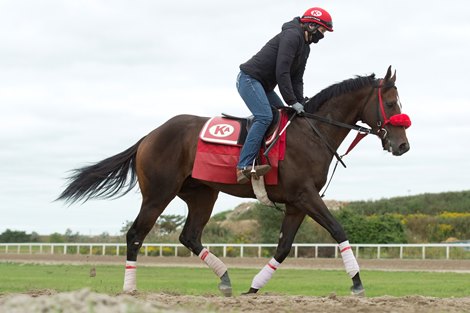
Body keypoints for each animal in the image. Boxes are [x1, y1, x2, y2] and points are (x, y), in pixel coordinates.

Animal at [57, 65, 412, 294]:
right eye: (391, 103)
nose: (403, 146)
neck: (312, 132)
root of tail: (149, 136)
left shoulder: (296, 203)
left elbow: (284, 247)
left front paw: (253, 288)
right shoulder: (306, 195)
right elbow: (338, 229)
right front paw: (357, 282)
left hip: (202, 194)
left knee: (189, 236)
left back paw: (226, 278)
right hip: (159, 193)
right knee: (135, 234)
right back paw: (130, 289)